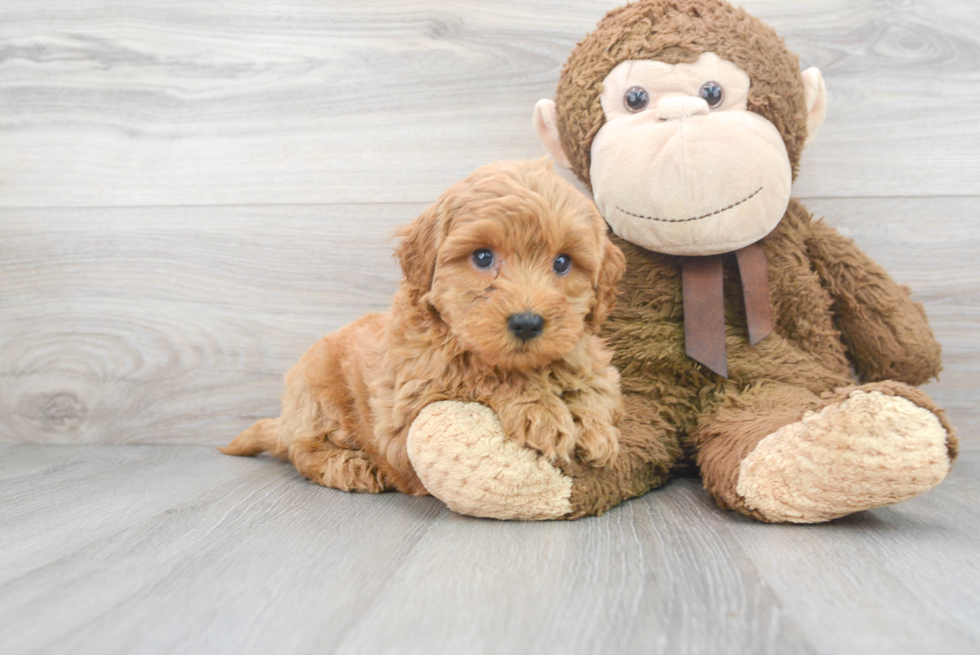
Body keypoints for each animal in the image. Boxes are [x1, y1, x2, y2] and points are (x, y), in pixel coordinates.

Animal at [222, 160, 624, 498]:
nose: (527, 323)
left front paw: (594, 426)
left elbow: (595, 383)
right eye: (483, 257)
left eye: (562, 263)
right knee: (302, 450)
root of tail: (286, 420)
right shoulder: (410, 405)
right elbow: (483, 376)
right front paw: (542, 412)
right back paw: (350, 465)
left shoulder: (587, 354)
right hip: (317, 397)